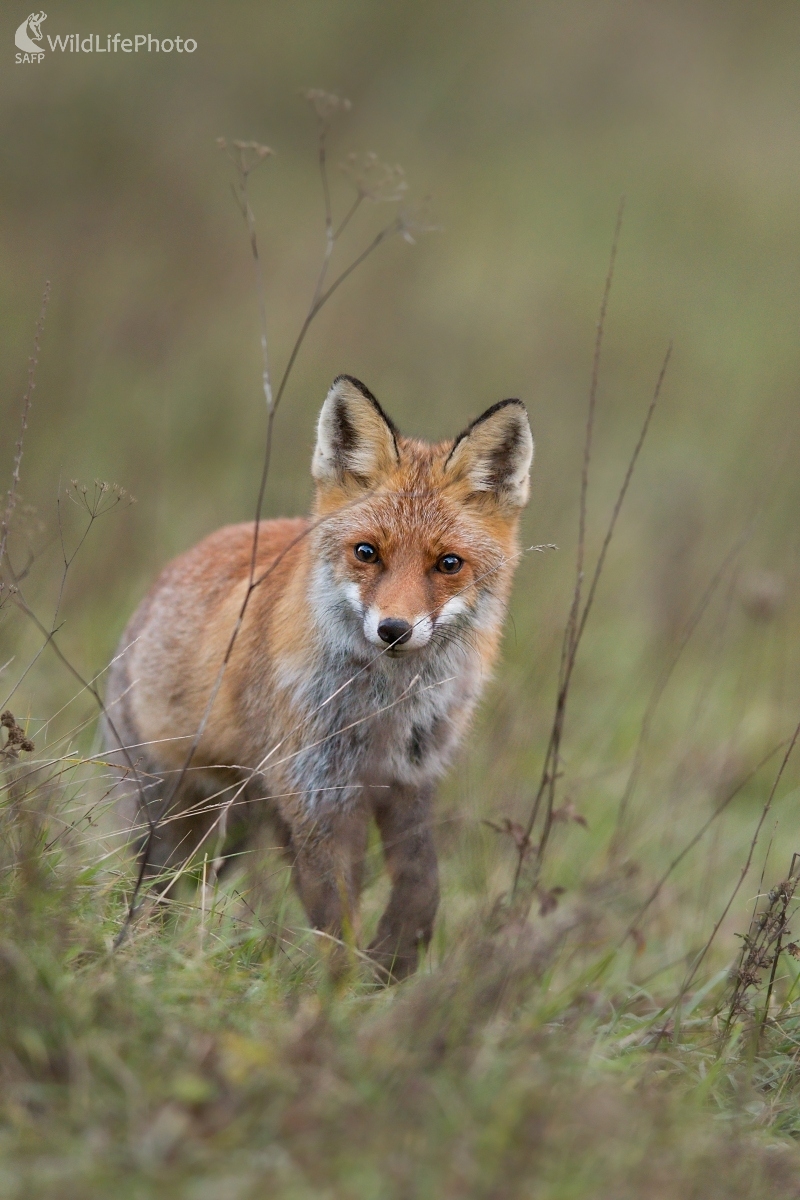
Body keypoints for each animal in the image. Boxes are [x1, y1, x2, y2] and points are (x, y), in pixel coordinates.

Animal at [104, 379, 532, 979]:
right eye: (367, 553)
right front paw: (341, 991)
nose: (394, 630)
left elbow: (422, 887)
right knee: (155, 890)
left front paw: (397, 959)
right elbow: (336, 913)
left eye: (448, 563)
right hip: (171, 816)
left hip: (241, 825)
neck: (383, 711)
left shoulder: (410, 777)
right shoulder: (316, 790)